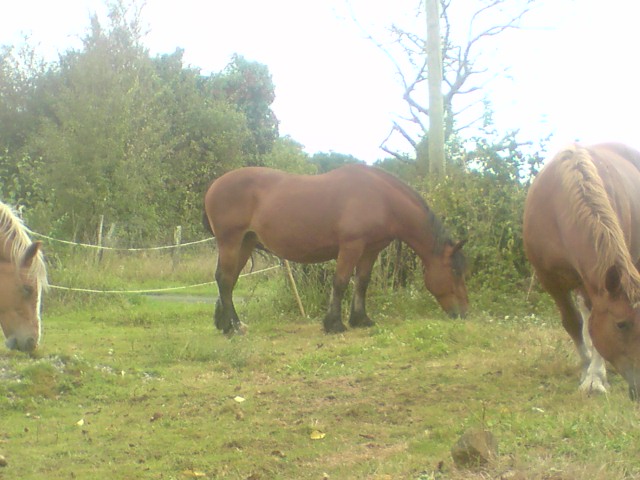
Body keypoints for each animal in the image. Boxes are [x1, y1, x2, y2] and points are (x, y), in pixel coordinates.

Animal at [202, 164, 468, 334]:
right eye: (456, 272)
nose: (463, 314)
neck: (382, 199)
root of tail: (214, 185)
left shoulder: (370, 250)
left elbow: (362, 282)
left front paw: (361, 319)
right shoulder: (351, 246)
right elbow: (340, 282)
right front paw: (334, 324)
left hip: (245, 242)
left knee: (229, 280)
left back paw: (225, 324)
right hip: (230, 241)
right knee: (224, 279)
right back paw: (235, 327)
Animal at [524, 143, 640, 402]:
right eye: (621, 325)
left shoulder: (594, 281)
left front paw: (595, 377)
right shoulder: (550, 280)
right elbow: (574, 322)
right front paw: (588, 368)